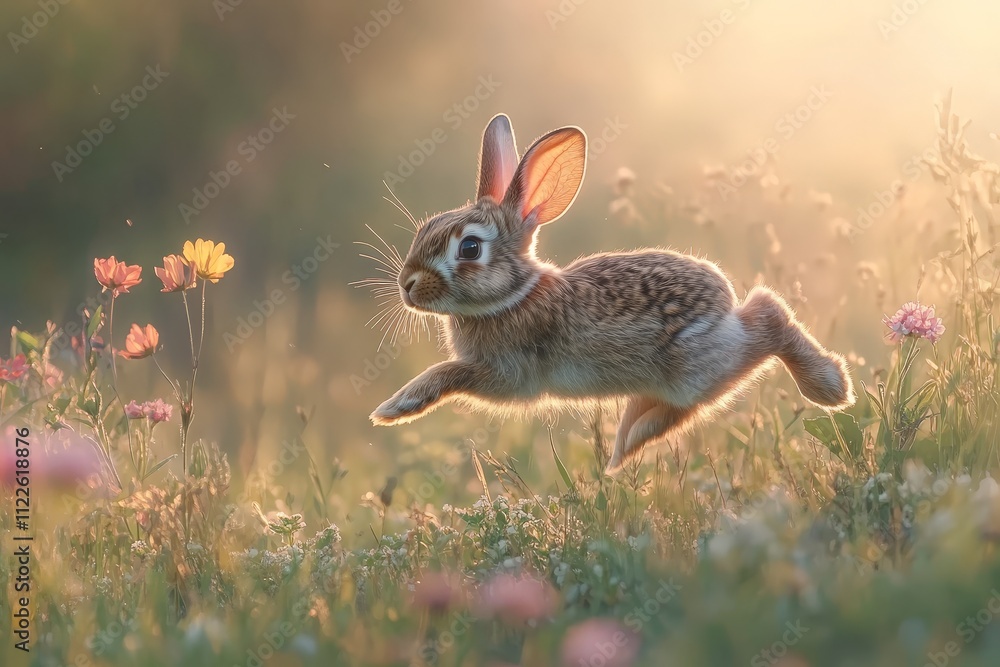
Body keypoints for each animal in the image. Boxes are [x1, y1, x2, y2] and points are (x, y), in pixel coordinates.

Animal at [369, 113, 855, 470]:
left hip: (698, 363)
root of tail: (724, 304)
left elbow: (450, 372)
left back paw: (829, 386)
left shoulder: (507, 376)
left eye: (469, 248)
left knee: (768, 318)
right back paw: (626, 446)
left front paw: (396, 407)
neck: (514, 295)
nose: (407, 285)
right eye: (425, 228)